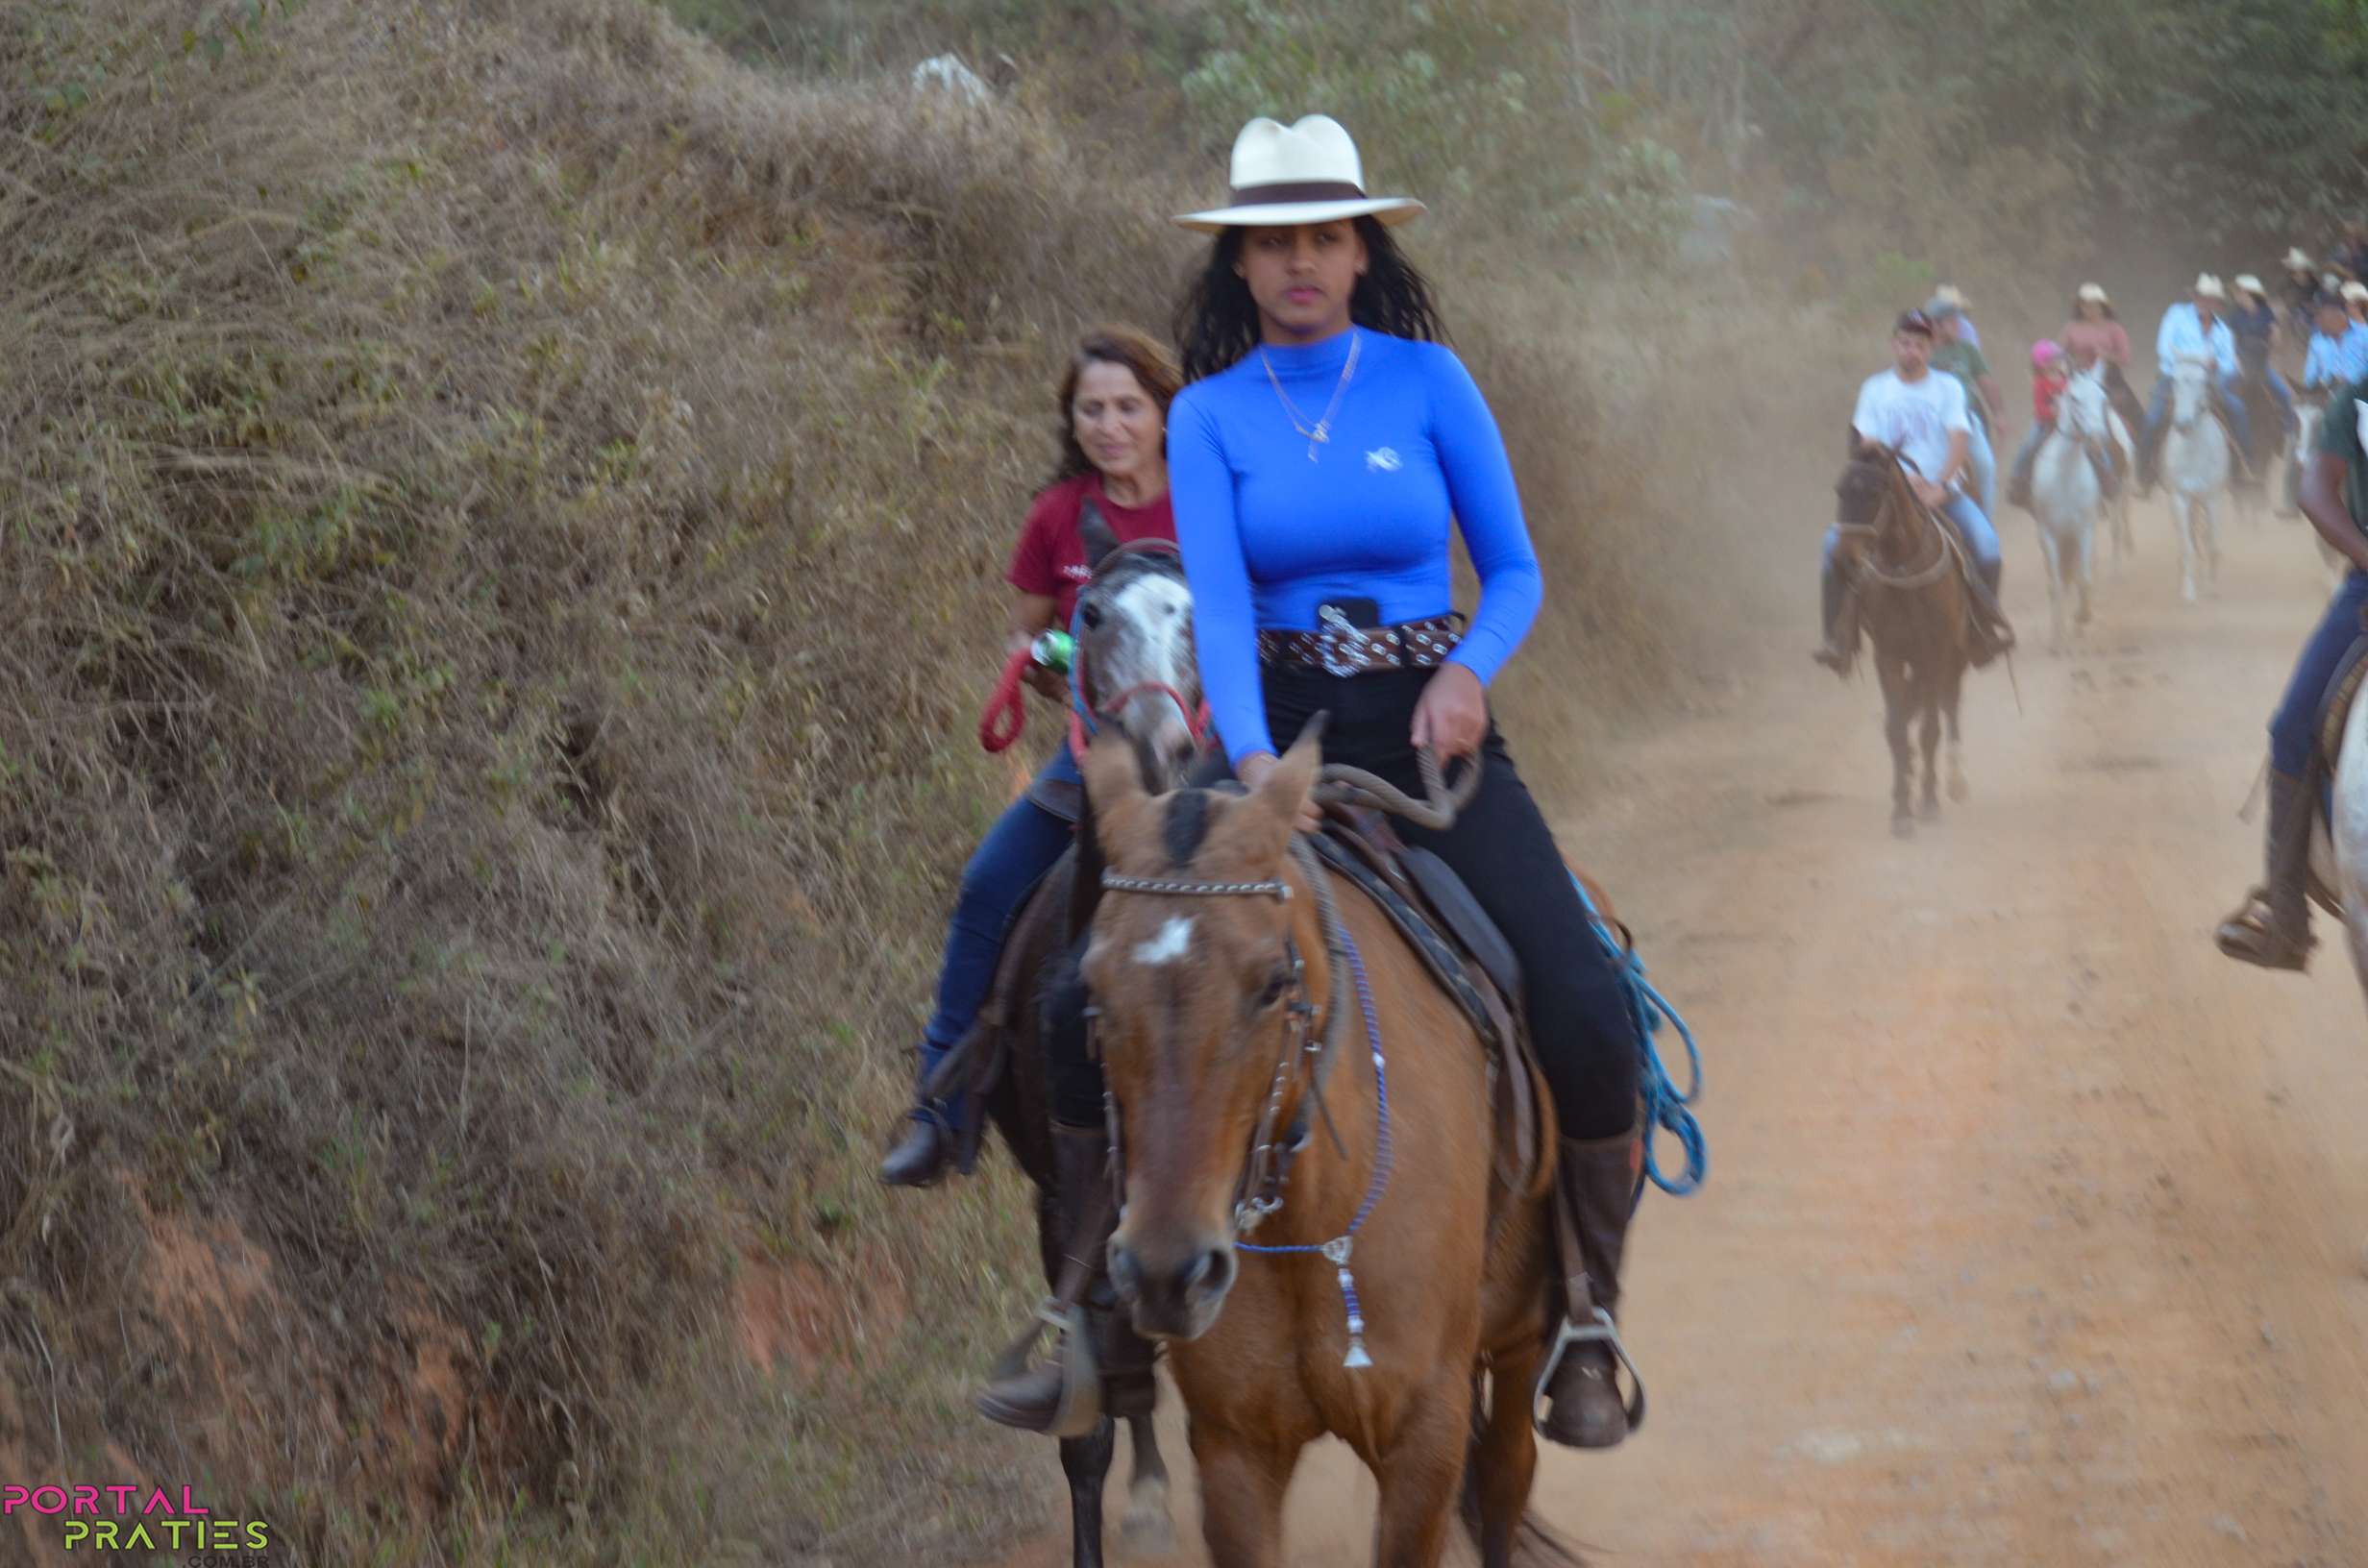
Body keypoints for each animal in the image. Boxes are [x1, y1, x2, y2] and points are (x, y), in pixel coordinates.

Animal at [1078, 731, 1577, 1568]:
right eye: (1091, 989)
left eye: (1274, 984)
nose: (1165, 1274)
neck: (1311, 1216)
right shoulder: (1235, 1449)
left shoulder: (1423, 1437)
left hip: (1521, 1333)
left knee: (1510, 1472)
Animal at [1832, 452, 1972, 838]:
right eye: (1839, 490)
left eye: (1875, 492)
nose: (1844, 559)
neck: (1905, 569)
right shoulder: (1889, 655)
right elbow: (1896, 728)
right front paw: (1901, 811)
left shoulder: (1934, 653)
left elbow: (1929, 730)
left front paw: (1927, 802)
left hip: (1952, 658)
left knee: (1948, 706)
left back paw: (1955, 781)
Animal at [2030, 367, 2118, 649]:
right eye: (2075, 399)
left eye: (2103, 399)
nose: (2098, 438)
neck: (2065, 475)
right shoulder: (2048, 534)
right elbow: (2056, 585)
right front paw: (2056, 641)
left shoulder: (2083, 531)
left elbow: (2084, 579)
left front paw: (2082, 617)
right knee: (2058, 582)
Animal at [2162, 353, 2231, 602]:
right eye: (2174, 379)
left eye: (2203, 381)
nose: (2183, 424)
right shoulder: (2180, 497)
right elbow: (2187, 547)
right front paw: (2189, 593)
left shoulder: (2213, 499)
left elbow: (2211, 543)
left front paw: (2211, 588)